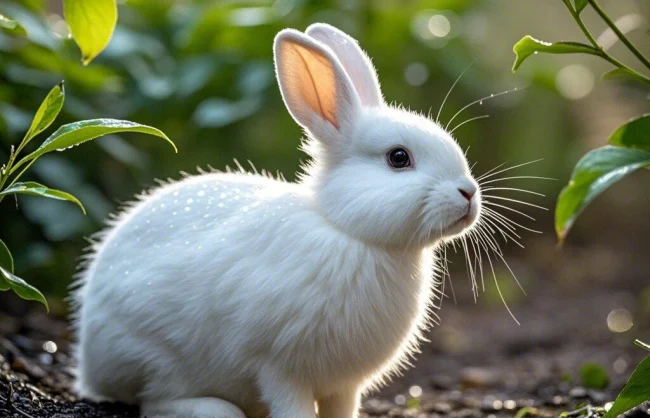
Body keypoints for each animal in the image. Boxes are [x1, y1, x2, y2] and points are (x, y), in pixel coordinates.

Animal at [71, 23, 481, 418]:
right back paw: (217, 410)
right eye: (398, 158)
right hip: (156, 357)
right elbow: (291, 406)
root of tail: (88, 365)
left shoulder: (344, 384)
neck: (348, 231)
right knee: (153, 400)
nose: (469, 193)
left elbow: (341, 410)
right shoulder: (279, 366)